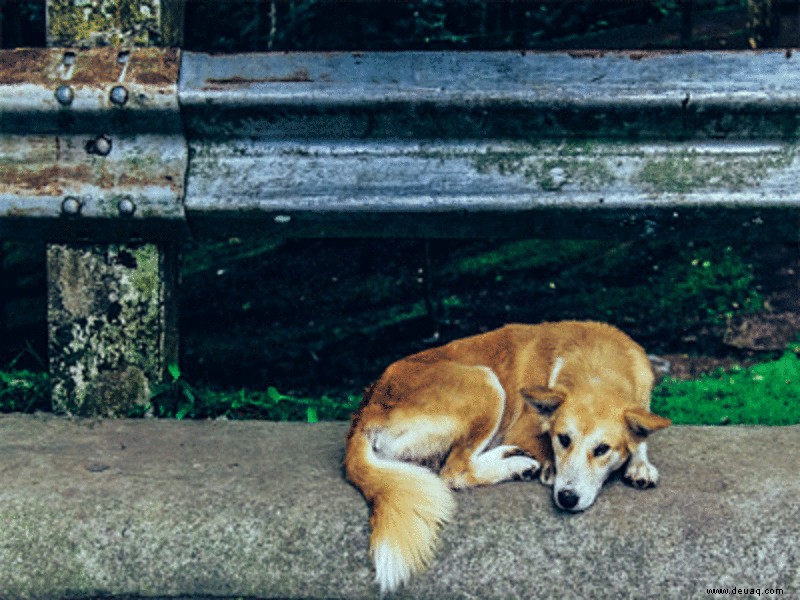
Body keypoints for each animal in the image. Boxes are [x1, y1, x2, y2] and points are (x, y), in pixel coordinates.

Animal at [342, 322, 668, 592]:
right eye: (563, 439)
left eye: (602, 449)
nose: (567, 498)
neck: (597, 366)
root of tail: (364, 410)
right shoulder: (523, 429)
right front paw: (548, 465)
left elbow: (641, 436)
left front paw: (641, 465)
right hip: (485, 383)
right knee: (454, 470)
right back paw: (516, 464)